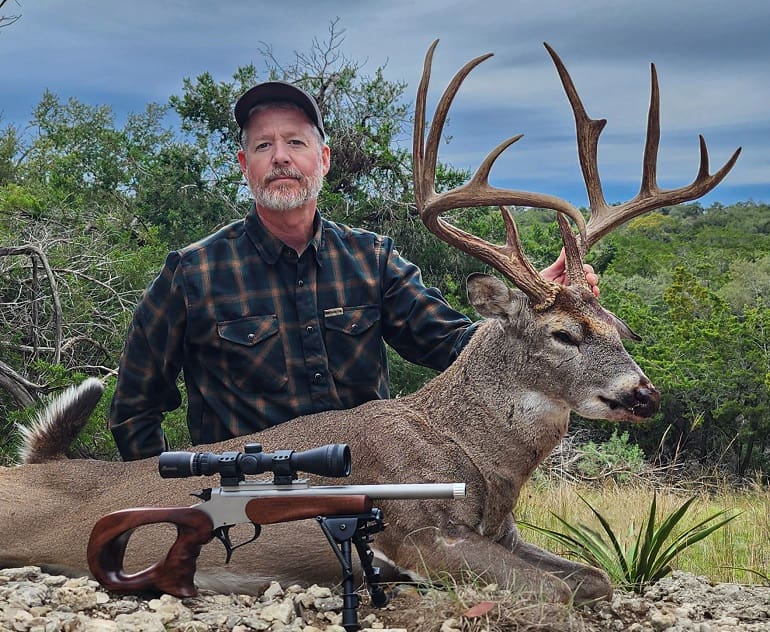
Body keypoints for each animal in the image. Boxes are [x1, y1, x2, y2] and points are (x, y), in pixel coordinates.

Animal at [0, 41, 739, 606]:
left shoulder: (501, 533)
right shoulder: (420, 535)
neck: (477, 458)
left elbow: (594, 574)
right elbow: (569, 588)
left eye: (618, 326)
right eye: (564, 334)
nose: (644, 393)